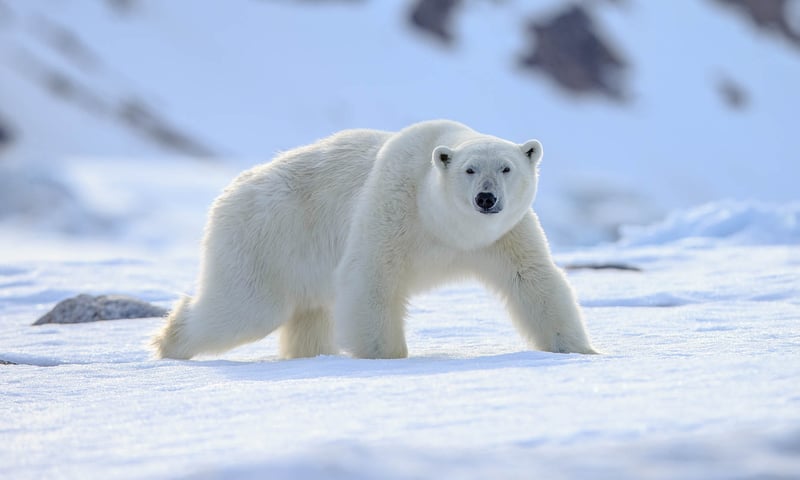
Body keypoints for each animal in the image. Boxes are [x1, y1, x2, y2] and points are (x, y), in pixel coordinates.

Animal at [152, 119, 597, 360]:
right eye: (469, 170)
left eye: (506, 168)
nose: (486, 199)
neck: (445, 226)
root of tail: (228, 192)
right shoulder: (394, 205)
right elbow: (372, 277)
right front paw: (386, 358)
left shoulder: (504, 235)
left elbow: (533, 280)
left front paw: (581, 351)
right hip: (265, 238)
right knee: (244, 308)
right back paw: (168, 342)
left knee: (309, 315)